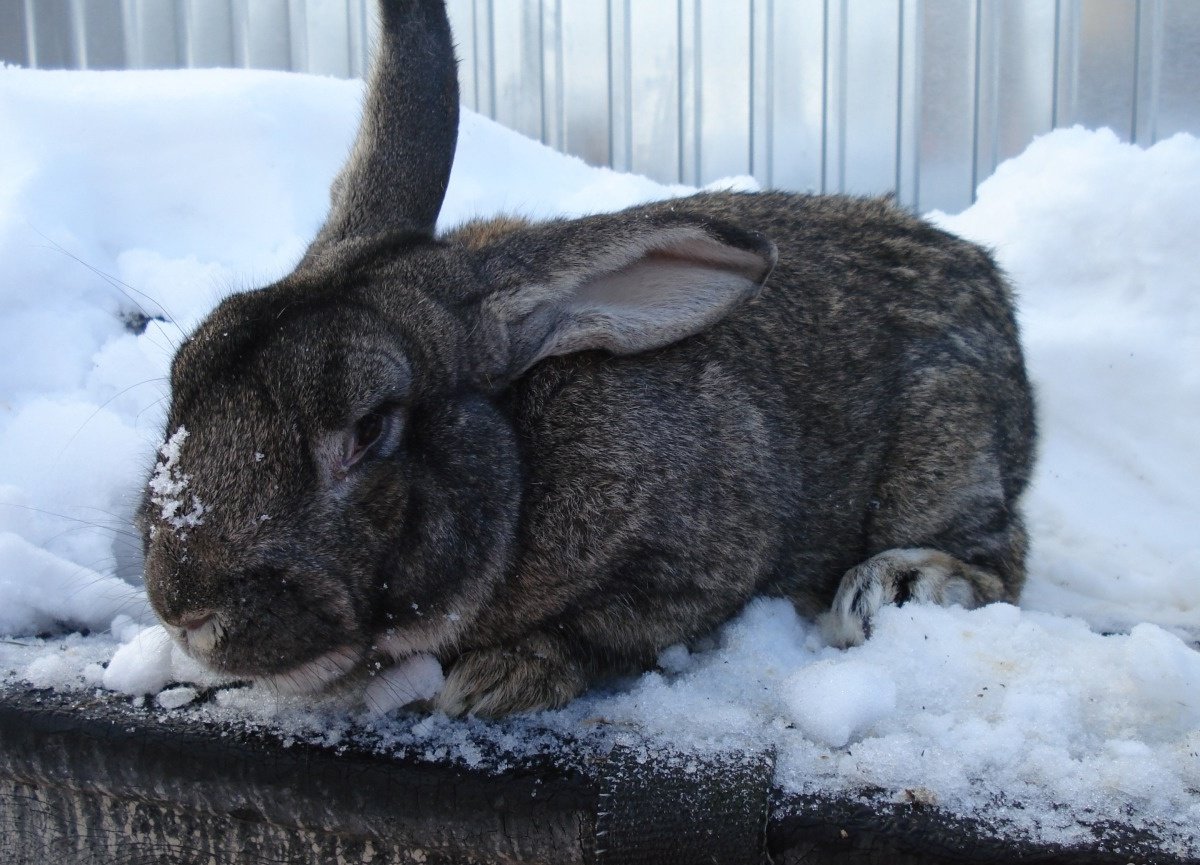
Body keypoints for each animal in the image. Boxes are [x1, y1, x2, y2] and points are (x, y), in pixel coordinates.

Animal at [140, 0, 1036, 715]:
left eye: (366, 430)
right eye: (181, 380)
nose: (183, 608)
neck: (520, 459)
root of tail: (990, 286)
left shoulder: (699, 558)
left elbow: (610, 628)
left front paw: (497, 679)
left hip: (943, 455)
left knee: (1003, 556)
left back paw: (901, 583)